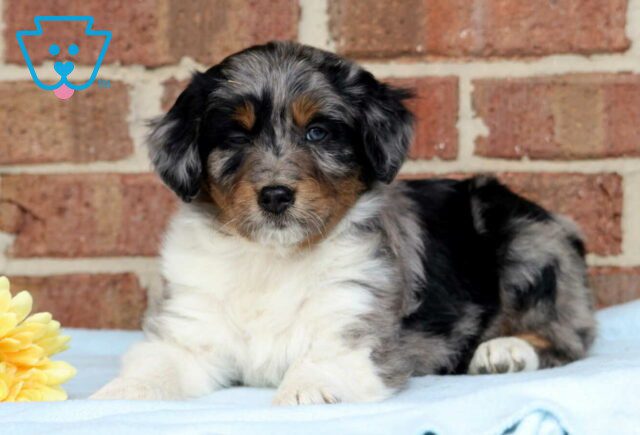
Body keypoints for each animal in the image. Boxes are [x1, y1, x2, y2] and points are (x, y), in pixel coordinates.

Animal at [92, 41, 596, 406]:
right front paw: (118, 395)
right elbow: (158, 365)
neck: (272, 259)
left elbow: (322, 362)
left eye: (317, 132)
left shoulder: (358, 322)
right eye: (236, 136)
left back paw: (503, 350)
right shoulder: (190, 329)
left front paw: (304, 392)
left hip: (527, 241)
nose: (275, 196)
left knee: (572, 334)